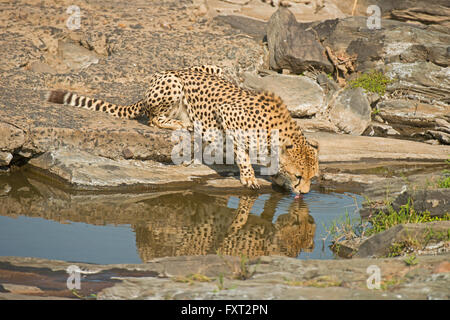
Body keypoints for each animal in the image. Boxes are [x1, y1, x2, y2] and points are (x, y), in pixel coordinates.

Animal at [46, 65, 320, 192]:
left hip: (215, 68)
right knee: (152, 117)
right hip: (173, 85)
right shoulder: (226, 114)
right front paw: (249, 176)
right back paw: (182, 122)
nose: (304, 193)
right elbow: (241, 153)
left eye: (312, 178)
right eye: (299, 176)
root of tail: (175, 69)